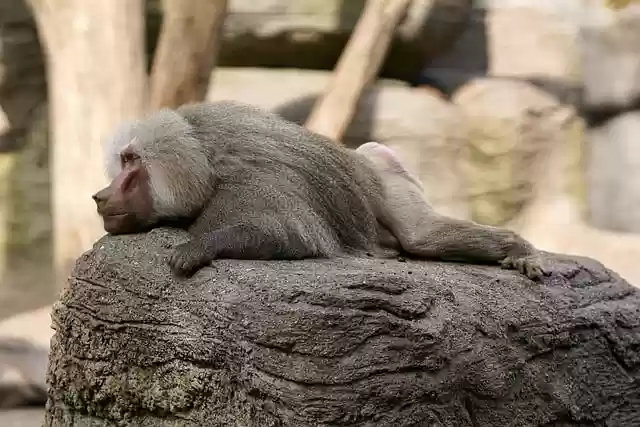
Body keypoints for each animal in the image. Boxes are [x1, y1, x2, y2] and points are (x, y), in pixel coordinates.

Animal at [92, 100, 543, 280]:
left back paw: (518, 248)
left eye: (130, 162)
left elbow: (283, 234)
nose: (100, 196)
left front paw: (196, 249)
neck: (203, 154)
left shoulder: (251, 183)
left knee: (422, 235)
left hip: (389, 179)